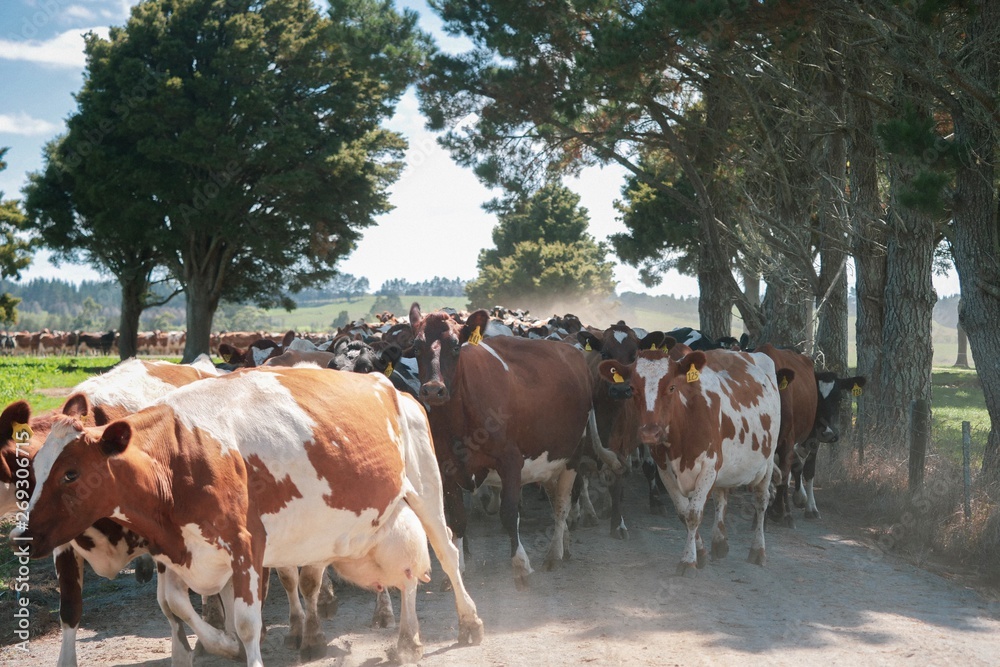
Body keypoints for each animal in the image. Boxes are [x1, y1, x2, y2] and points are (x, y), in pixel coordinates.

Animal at [15, 366, 484, 666]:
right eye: (30, 471)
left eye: (71, 473)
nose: (21, 537)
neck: (177, 457)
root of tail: (387, 384)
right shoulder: (175, 551)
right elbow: (176, 605)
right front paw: (219, 646)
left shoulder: (245, 548)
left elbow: (245, 622)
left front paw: (237, 646)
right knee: (402, 573)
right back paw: (401, 638)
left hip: (426, 488)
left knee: (443, 552)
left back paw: (465, 623)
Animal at [409, 303, 594, 589]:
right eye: (416, 347)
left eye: (455, 346)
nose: (432, 390)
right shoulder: (446, 467)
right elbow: (457, 520)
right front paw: (457, 572)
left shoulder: (510, 461)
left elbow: (508, 514)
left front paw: (520, 566)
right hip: (548, 462)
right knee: (555, 501)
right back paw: (565, 546)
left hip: (572, 455)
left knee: (562, 506)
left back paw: (554, 554)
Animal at [599, 348, 781, 574]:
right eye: (632, 388)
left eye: (671, 387)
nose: (650, 432)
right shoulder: (665, 471)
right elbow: (683, 513)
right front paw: (699, 553)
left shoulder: (708, 467)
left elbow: (694, 514)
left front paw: (688, 560)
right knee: (721, 497)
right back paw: (719, 541)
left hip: (768, 461)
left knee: (761, 500)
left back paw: (758, 550)